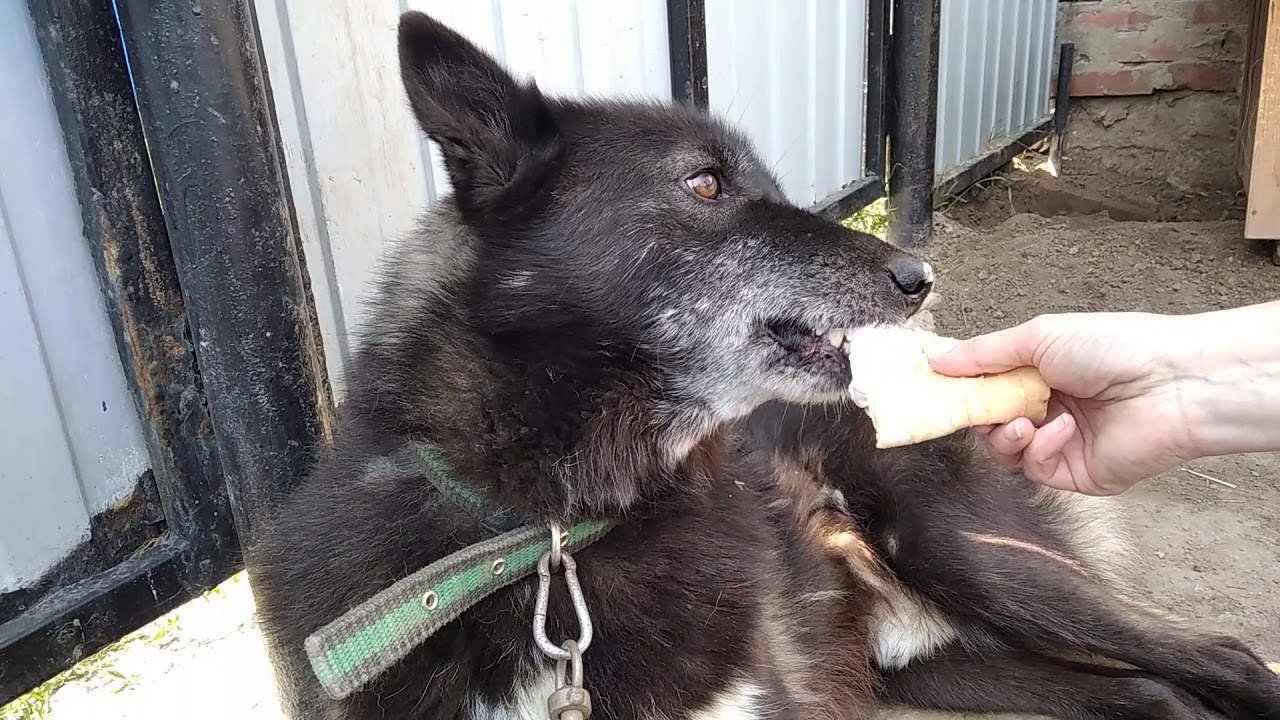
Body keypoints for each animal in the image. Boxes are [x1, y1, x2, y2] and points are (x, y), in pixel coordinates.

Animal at [249, 11, 1280, 717]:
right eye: (705, 184)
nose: (920, 275)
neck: (553, 541)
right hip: (933, 660)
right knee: (1154, 693)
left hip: (974, 556)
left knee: (1225, 657)